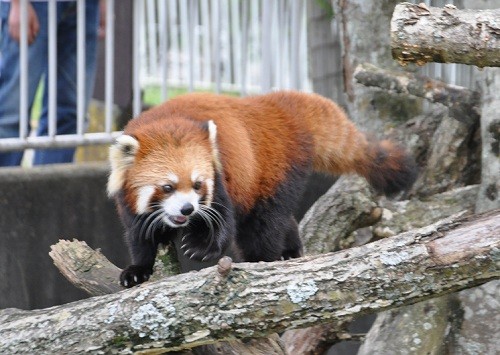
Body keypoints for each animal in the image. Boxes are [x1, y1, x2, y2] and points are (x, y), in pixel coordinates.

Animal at [109, 90, 418, 288]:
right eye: (168, 187)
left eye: (197, 185)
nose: (188, 208)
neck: (166, 123)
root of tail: (274, 107)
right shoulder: (130, 204)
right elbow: (138, 235)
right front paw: (137, 270)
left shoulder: (222, 174)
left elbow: (223, 219)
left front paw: (202, 248)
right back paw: (291, 250)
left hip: (273, 170)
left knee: (263, 223)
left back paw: (261, 261)